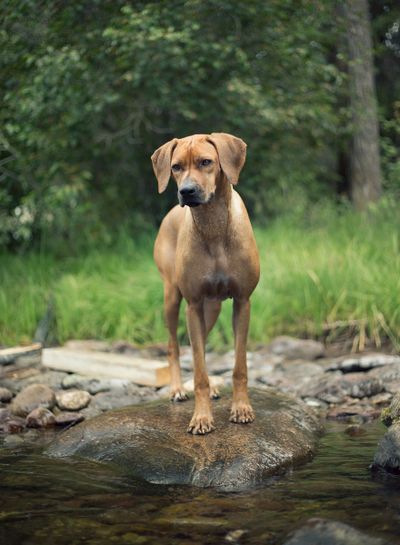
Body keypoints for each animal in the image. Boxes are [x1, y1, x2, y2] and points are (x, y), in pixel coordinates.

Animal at [151, 134, 260, 436]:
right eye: (176, 167)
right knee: (174, 346)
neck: (213, 224)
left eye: (206, 162)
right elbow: (198, 370)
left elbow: (239, 366)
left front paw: (241, 408)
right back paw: (177, 389)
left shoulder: (243, 302)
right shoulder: (193, 304)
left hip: (212, 308)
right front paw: (201, 417)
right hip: (173, 298)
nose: (186, 191)